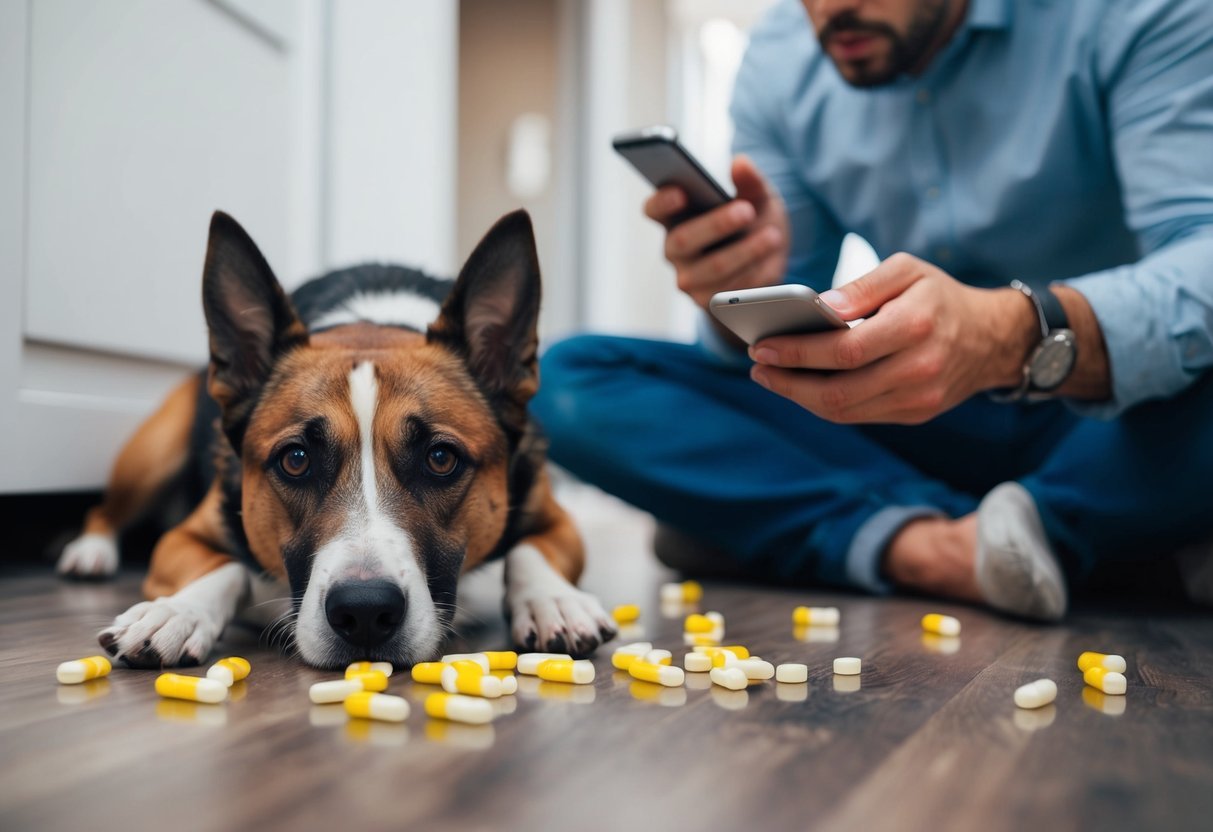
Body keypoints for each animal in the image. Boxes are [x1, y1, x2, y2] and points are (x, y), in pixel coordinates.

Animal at [57, 209, 616, 669]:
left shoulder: (556, 517)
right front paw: (176, 610)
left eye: (440, 458)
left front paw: (553, 600)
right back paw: (91, 552)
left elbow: (528, 552)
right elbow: (227, 566)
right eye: (296, 459)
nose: (364, 612)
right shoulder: (186, 535)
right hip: (154, 451)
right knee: (103, 510)